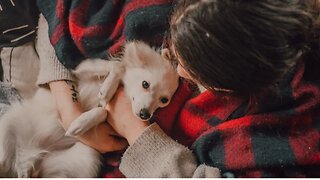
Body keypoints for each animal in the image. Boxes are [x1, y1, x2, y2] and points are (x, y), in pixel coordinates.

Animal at [0, 41, 180, 177]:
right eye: (145, 84)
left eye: (164, 100)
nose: (145, 115)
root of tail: (26, 161)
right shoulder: (82, 69)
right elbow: (117, 66)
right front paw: (107, 89)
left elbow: (103, 110)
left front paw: (80, 123)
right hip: (6, 126)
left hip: (87, 158)